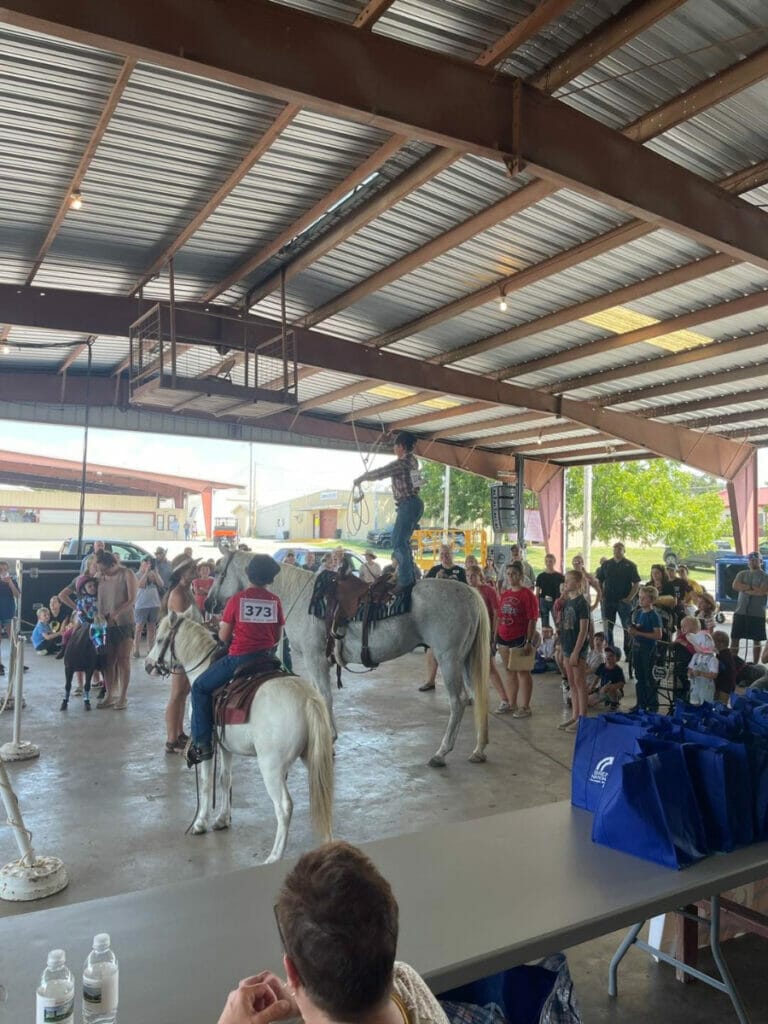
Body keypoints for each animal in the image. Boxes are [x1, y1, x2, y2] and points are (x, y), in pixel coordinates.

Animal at [147, 606, 333, 864]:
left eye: (159, 639)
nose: (148, 664)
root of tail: (308, 699)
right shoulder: (225, 747)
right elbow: (225, 780)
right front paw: (222, 820)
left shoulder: (207, 743)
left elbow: (206, 783)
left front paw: (200, 823)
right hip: (313, 756)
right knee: (323, 793)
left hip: (271, 766)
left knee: (284, 806)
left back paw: (274, 856)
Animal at [207, 552, 489, 770]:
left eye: (219, 571)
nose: (210, 602)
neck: (304, 598)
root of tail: (469, 592)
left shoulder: (315, 658)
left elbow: (325, 696)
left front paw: (330, 740)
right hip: (465, 659)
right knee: (477, 696)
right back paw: (479, 749)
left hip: (448, 658)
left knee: (459, 701)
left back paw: (441, 753)